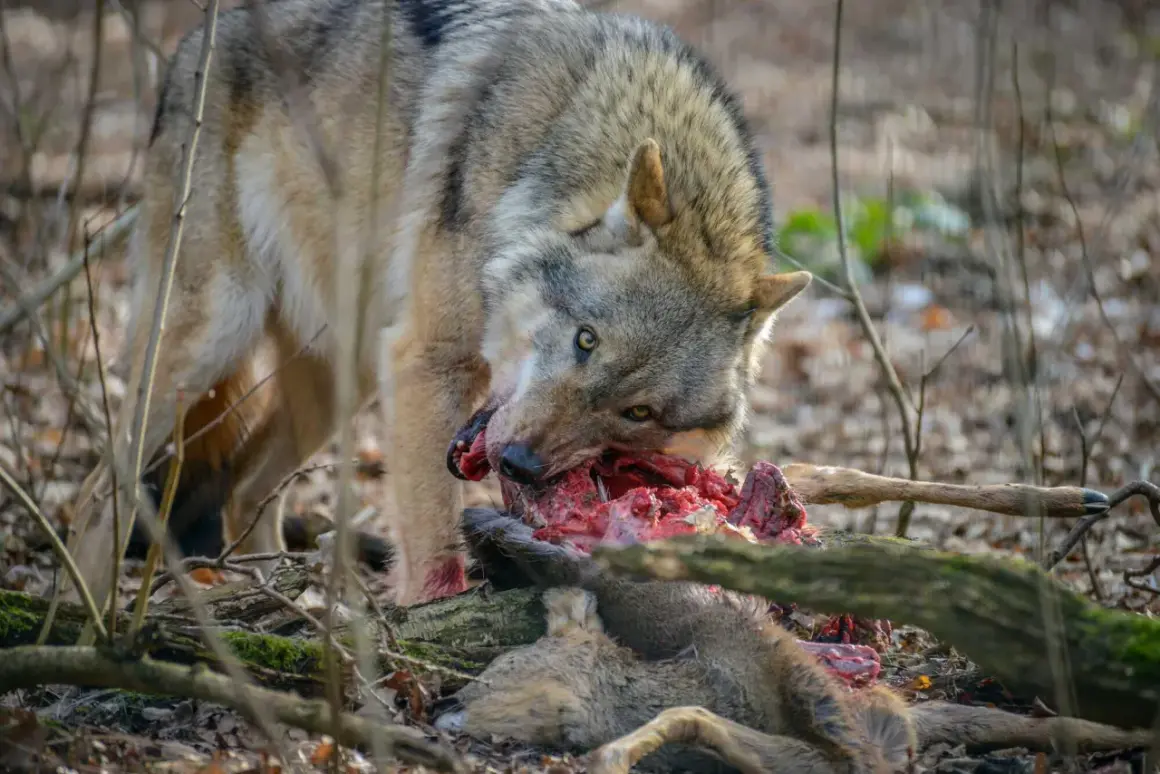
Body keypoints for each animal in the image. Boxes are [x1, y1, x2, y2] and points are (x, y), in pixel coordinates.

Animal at [61, 0, 812, 611]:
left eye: (640, 413)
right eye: (586, 339)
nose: (521, 465)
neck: (548, 159)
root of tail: (198, 37)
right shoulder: (427, 364)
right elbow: (430, 548)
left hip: (343, 383)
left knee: (244, 491)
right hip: (208, 343)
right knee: (100, 491)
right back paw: (82, 622)